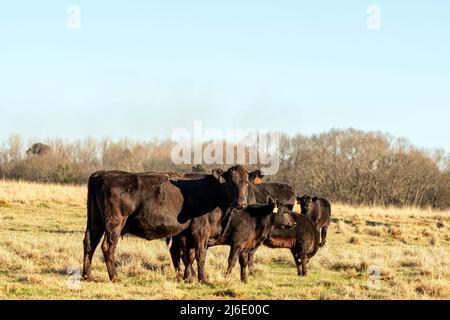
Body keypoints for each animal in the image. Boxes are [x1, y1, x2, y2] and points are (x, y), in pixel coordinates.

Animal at [81, 165, 250, 282]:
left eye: (246, 183)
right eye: (231, 183)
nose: (241, 203)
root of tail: (103, 173)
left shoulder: (187, 233)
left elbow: (189, 255)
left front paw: (187, 278)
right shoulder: (201, 231)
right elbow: (200, 255)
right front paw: (203, 279)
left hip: (95, 221)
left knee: (89, 244)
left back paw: (87, 276)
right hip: (114, 223)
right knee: (107, 247)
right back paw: (114, 277)